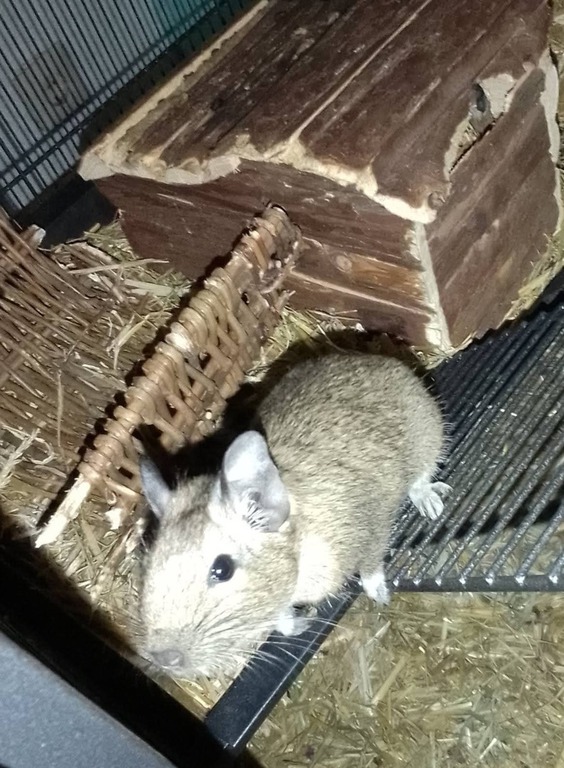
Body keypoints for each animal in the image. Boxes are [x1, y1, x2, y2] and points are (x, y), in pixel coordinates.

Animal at [138, 351, 449, 679]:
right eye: (146, 566)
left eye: (222, 569)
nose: (163, 658)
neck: (298, 550)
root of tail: (376, 357)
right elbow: (281, 620)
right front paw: (302, 622)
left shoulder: (373, 527)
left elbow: (370, 568)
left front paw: (380, 596)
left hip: (429, 435)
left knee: (420, 478)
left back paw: (430, 503)